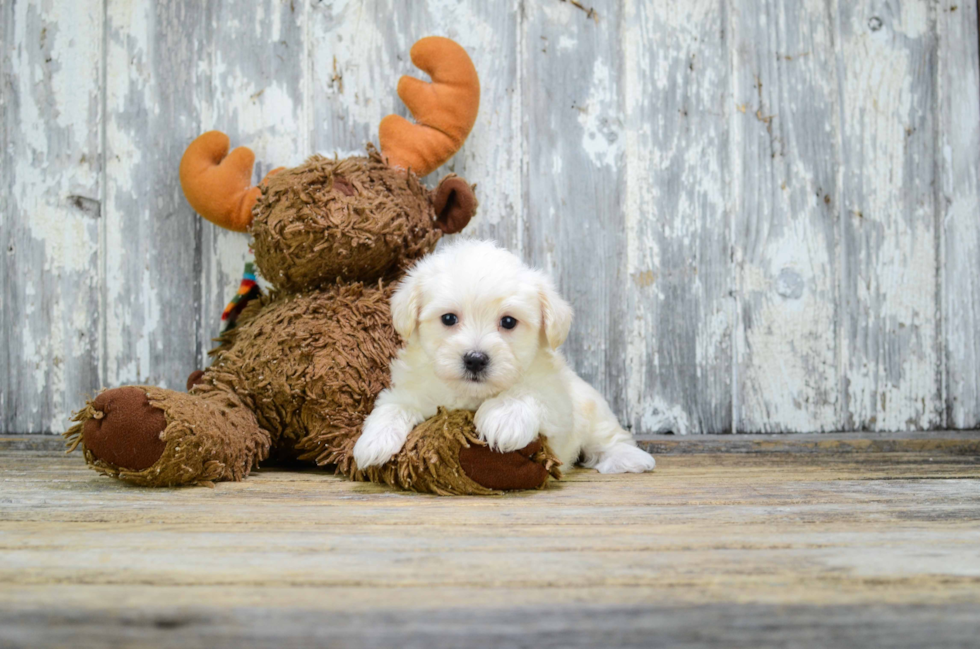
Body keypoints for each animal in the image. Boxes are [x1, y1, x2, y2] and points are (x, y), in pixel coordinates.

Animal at [352, 238, 660, 470]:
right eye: (449, 318)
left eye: (509, 322)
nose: (475, 359)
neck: (472, 395)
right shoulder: (410, 392)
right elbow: (393, 406)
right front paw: (373, 442)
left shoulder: (558, 403)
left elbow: (527, 393)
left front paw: (502, 419)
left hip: (593, 409)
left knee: (609, 436)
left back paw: (629, 458)